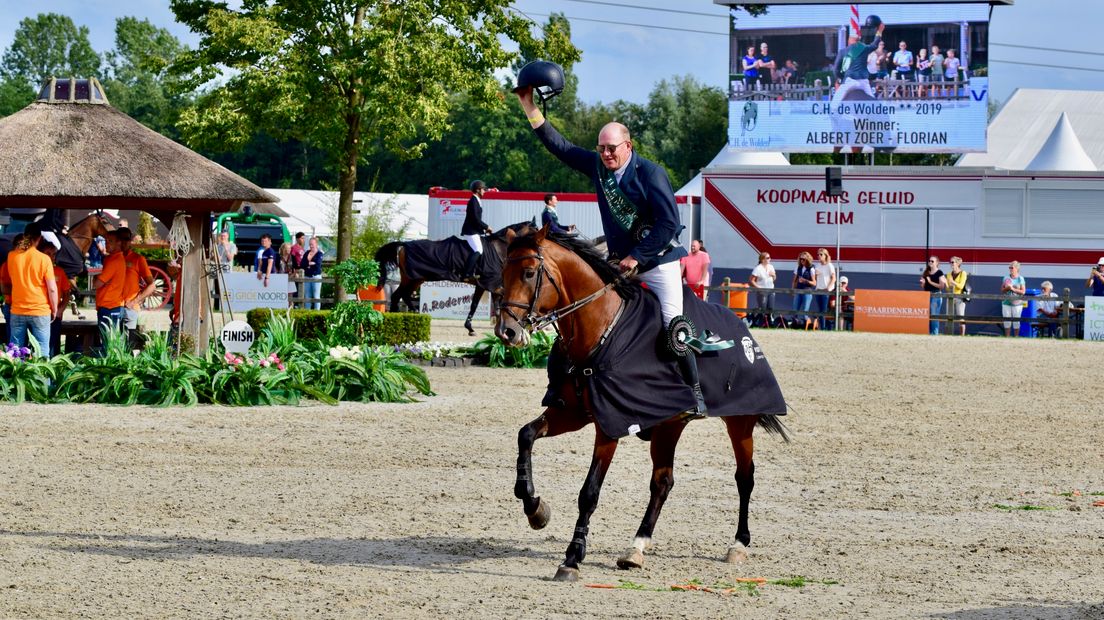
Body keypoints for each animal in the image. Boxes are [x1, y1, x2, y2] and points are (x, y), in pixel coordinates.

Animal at [373, 220, 536, 335]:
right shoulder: (491, 283)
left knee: (402, 295)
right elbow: (500, 301)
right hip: (411, 278)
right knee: (398, 296)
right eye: (535, 231)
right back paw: (404, 318)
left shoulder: (483, 285)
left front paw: (472, 327)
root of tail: (404, 245)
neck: (498, 249)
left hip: (416, 279)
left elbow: (476, 304)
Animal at [492, 226, 786, 578]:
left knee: (744, 477)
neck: (600, 330)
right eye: (502, 273)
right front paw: (535, 508)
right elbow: (525, 435)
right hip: (669, 426)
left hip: (739, 421)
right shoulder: (571, 413)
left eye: (528, 272)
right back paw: (637, 547)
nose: (506, 331)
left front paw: (573, 557)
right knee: (662, 482)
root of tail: (742, 327)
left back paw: (738, 544)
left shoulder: (610, 425)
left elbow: (589, 492)